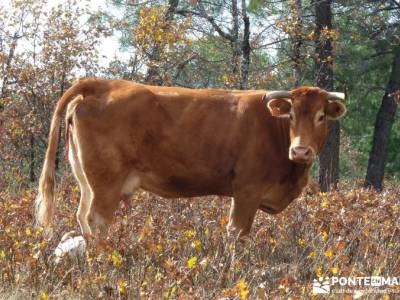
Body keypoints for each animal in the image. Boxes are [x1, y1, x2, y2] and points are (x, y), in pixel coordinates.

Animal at [35, 79, 346, 239]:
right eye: (291, 115)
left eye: (321, 116)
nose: (301, 151)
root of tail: (105, 84)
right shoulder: (247, 190)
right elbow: (237, 233)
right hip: (106, 184)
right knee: (97, 221)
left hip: (87, 182)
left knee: (83, 218)